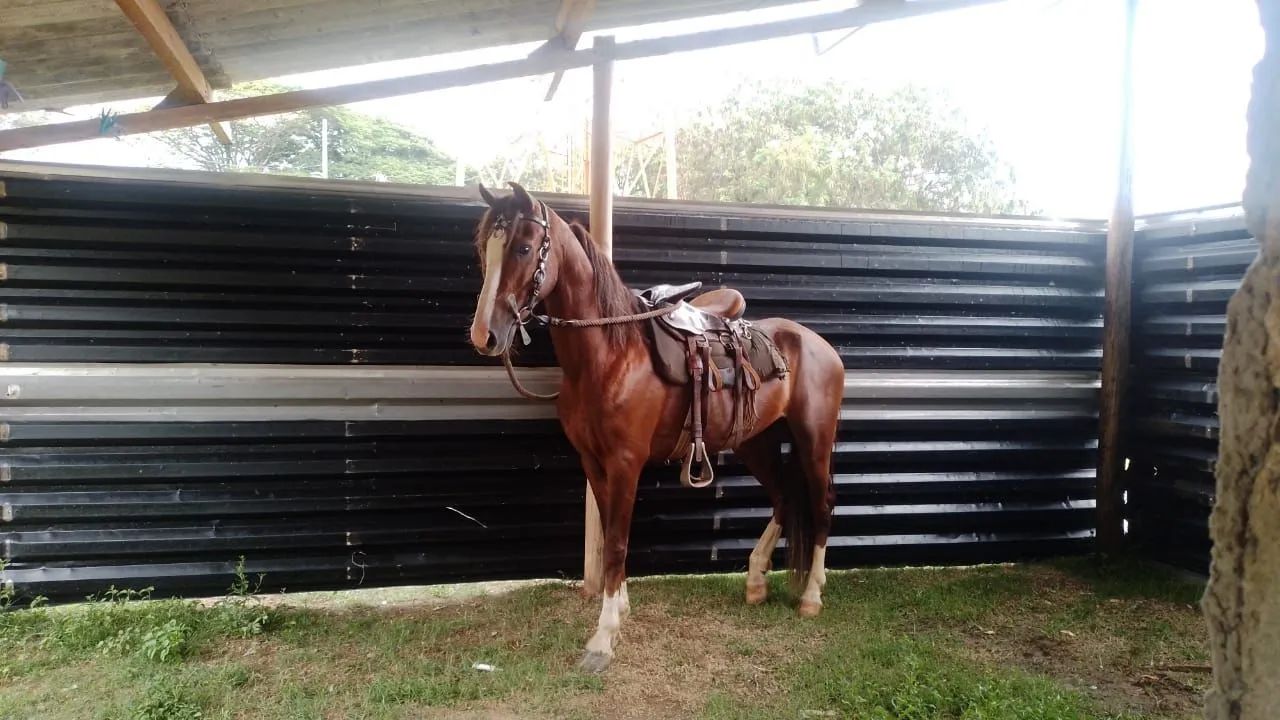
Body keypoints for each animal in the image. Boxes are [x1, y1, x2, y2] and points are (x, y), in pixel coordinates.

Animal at [467, 182, 844, 673]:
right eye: (484, 249)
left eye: (524, 248)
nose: (485, 336)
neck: (611, 354)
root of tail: (819, 344)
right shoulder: (594, 463)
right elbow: (612, 534)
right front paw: (620, 608)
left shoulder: (626, 463)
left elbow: (616, 542)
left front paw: (603, 638)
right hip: (756, 442)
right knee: (783, 498)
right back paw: (756, 582)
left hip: (814, 439)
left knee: (821, 505)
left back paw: (812, 596)